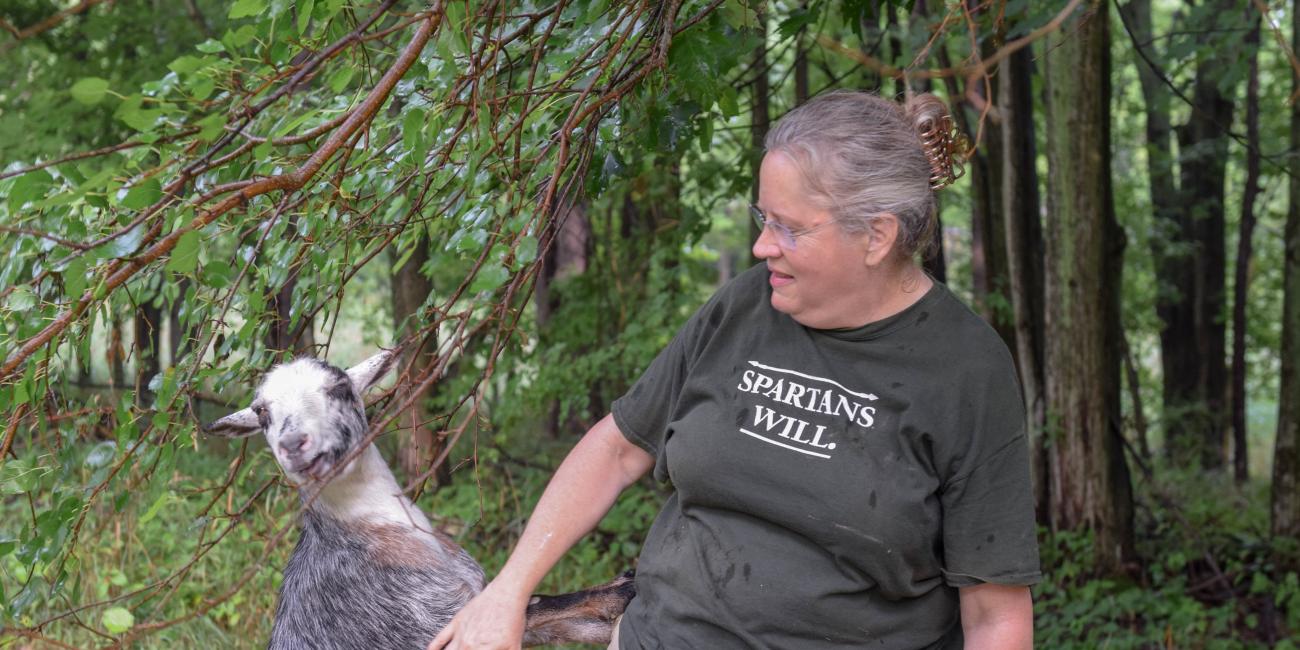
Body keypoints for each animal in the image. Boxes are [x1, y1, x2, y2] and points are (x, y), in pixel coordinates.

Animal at [205, 353, 631, 647]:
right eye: (262, 412)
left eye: (340, 386)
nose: (293, 444)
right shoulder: (437, 625)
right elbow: (541, 606)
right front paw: (621, 592)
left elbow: (546, 607)